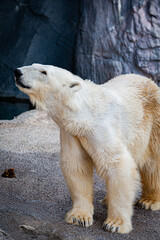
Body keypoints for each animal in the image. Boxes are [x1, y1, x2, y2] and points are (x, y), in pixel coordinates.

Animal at [14, 64, 159, 234]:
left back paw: (149, 200)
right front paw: (80, 217)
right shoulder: (72, 133)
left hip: (153, 124)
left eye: (44, 72)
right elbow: (77, 165)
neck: (84, 114)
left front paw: (115, 224)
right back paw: (107, 199)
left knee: (153, 163)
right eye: (33, 65)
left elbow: (117, 163)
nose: (17, 72)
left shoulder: (101, 127)